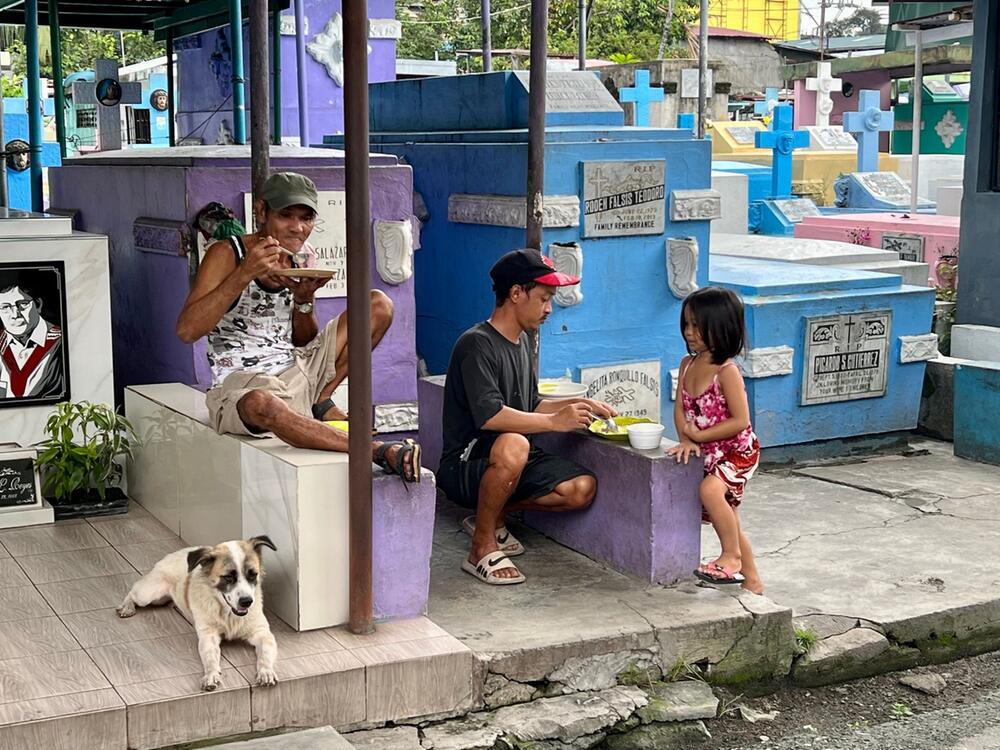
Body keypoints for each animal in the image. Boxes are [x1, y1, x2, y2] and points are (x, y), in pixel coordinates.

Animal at [117, 536, 278, 692]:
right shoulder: (208, 636)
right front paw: (211, 675)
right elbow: (210, 658)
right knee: (133, 592)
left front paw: (266, 672)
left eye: (253, 575)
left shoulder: (263, 634)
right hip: (149, 594)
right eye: (228, 577)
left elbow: (265, 655)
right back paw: (126, 607)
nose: (247, 602)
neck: (228, 615)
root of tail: (173, 554)